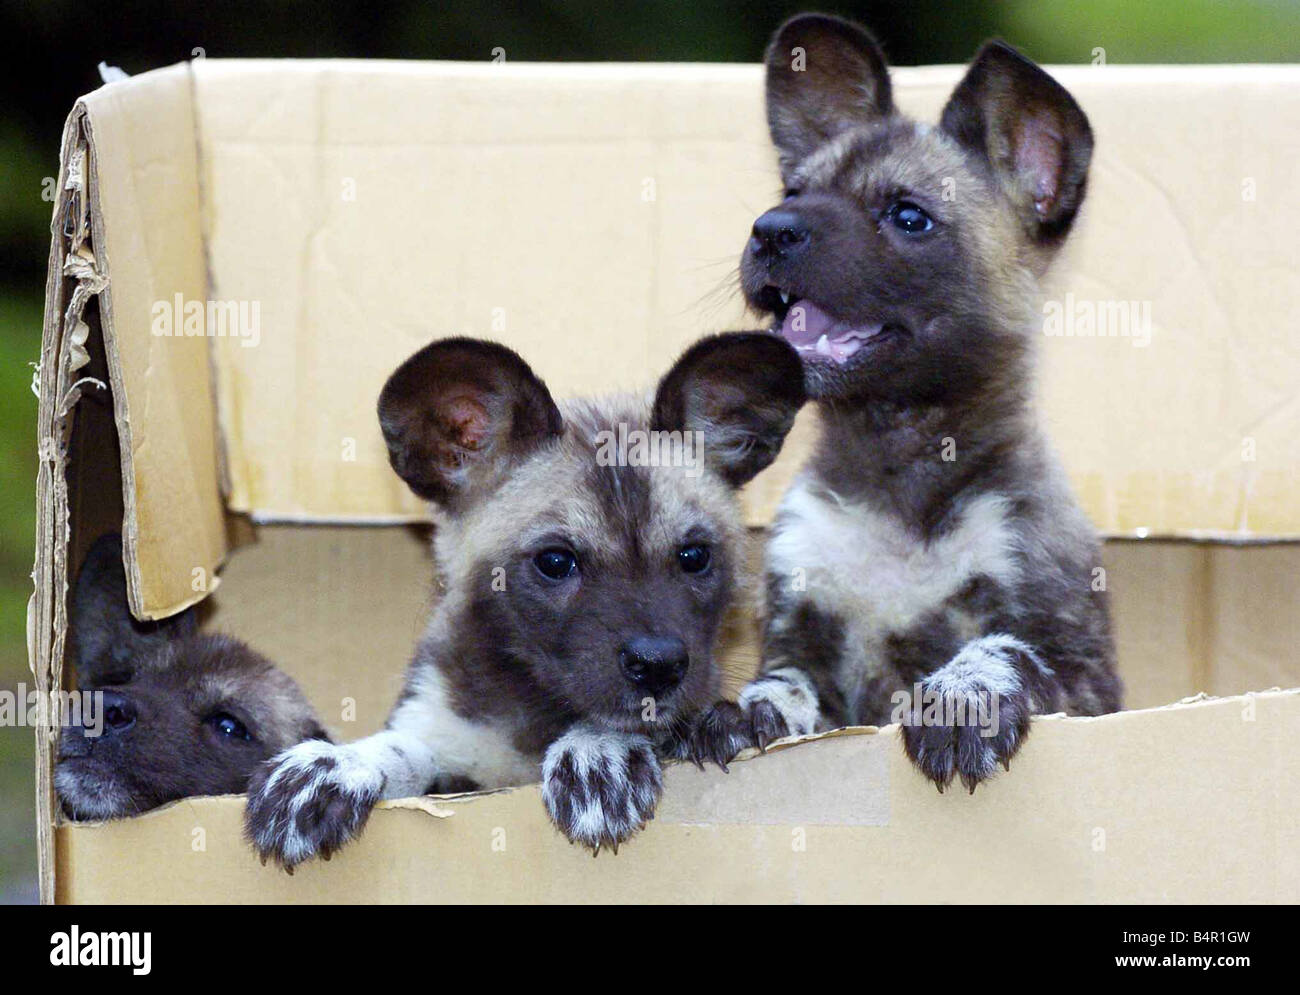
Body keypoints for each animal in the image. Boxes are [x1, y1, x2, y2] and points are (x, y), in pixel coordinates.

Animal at [244, 331, 800, 863]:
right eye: (555, 562)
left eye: (694, 556)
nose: (658, 665)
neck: (530, 718)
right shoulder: (452, 763)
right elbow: (411, 749)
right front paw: (339, 763)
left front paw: (599, 751)